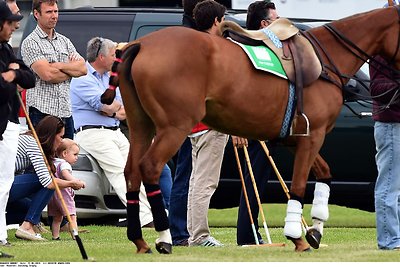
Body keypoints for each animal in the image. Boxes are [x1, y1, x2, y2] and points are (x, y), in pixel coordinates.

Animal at [101, 5, 400, 253]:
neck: (325, 59)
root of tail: (140, 44)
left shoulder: (296, 139)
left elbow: (324, 174)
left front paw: (315, 229)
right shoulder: (311, 136)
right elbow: (299, 185)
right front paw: (298, 236)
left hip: (142, 125)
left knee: (131, 172)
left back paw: (140, 240)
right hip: (174, 127)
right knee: (150, 167)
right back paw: (164, 239)